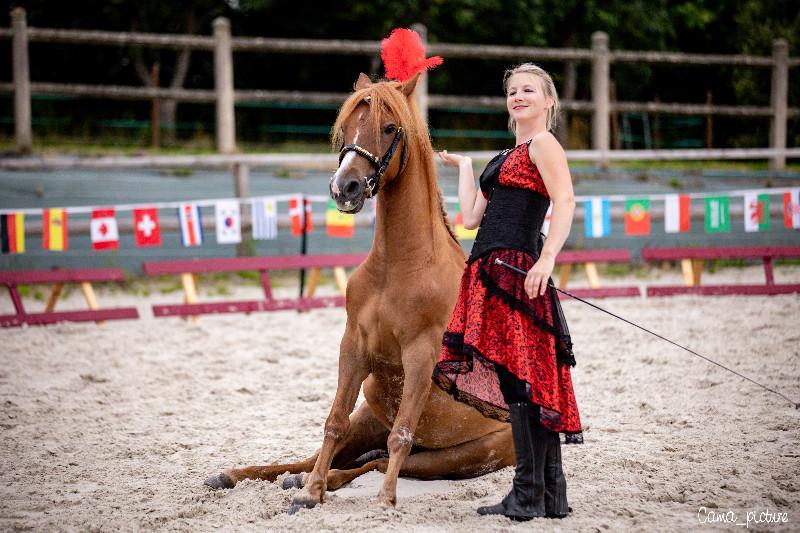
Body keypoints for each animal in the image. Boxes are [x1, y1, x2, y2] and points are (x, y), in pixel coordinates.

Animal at [200, 72, 512, 510]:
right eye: (346, 127)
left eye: (390, 127)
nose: (344, 187)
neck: (398, 265)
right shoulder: (354, 346)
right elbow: (332, 423)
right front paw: (311, 490)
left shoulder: (421, 355)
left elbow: (400, 435)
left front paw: (381, 500)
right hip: (370, 417)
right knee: (331, 452)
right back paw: (247, 476)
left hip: (455, 457)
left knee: (377, 461)